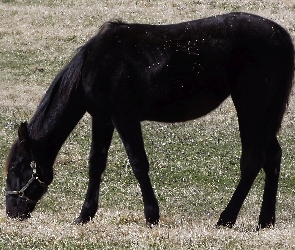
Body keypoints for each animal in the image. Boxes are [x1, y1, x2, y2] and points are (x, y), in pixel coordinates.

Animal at [4, 12, 294, 229]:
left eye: (17, 168)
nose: (12, 212)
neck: (94, 64)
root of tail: (280, 33)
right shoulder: (103, 119)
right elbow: (96, 165)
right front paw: (84, 215)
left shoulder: (124, 117)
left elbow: (138, 163)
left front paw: (152, 216)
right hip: (265, 113)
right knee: (272, 158)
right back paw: (265, 221)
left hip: (251, 106)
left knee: (253, 160)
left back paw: (226, 219)